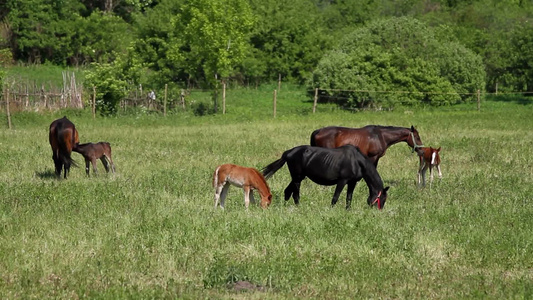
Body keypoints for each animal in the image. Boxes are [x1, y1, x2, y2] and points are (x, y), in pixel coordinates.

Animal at [262, 145, 390, 210]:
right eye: (383, 198)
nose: (377, 211)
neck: (357, 161)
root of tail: (288, 152)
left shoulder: (352, 182)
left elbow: (349, 198)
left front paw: (348, 210)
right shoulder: (342, 181)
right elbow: (335, 197)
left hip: (298, 177)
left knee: (288, 191)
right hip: (297, 178)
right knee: (295, 194)